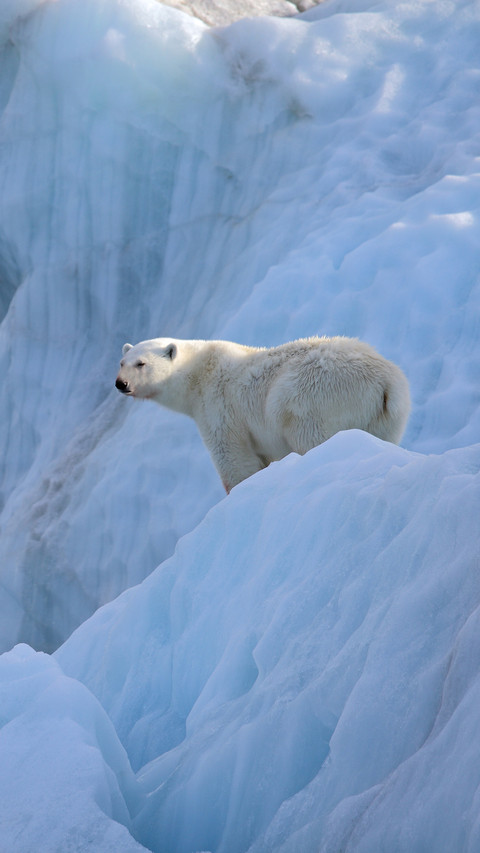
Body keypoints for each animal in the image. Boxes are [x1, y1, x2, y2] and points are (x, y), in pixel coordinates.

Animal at [115, 336, 410, 492]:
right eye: (121, 362)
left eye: (141, 363)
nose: (121, 383)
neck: (199, 373)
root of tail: (385, 382)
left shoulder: (219, 407)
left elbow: (234, 459)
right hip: (389, 416)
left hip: (313, 397)